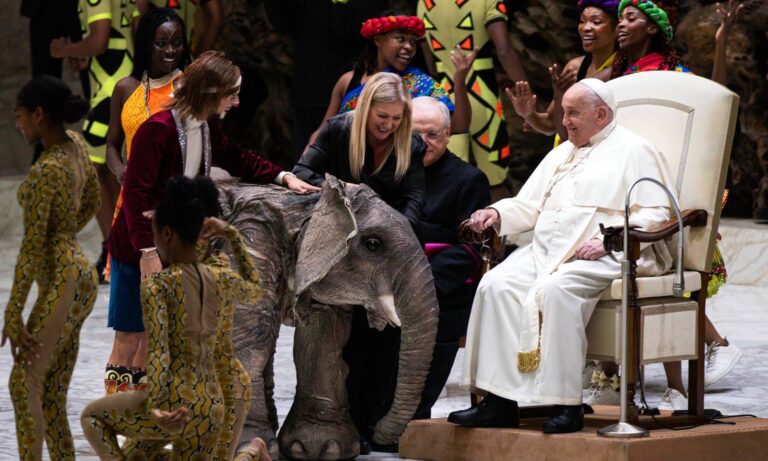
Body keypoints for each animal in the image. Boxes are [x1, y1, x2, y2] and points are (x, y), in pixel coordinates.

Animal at [214, 172, 438, 460]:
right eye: (373, 244)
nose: (378, 434)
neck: (311, 206)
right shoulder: (250, 241)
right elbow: (251, 335)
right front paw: (247, 446)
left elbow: (321, 337)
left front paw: (325, 448)